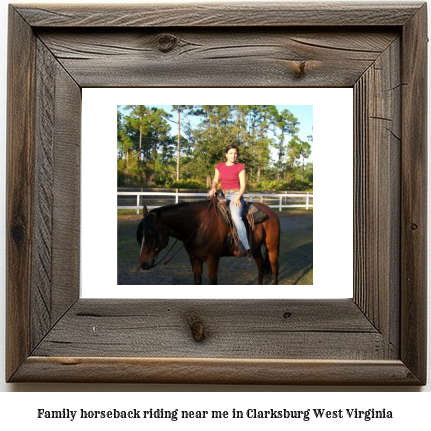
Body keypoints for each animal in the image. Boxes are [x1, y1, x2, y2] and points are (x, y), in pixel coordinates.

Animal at [137, 197, 282, 286]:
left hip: (272, 247)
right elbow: (197, 281)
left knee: (274, 267)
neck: (198, 225)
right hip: (255, 248)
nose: (143, 264)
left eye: (152, 235)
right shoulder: (195, 259)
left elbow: (212, 282)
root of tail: (272, 212)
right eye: (140, 236)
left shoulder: (213, 260)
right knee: (261, 264)